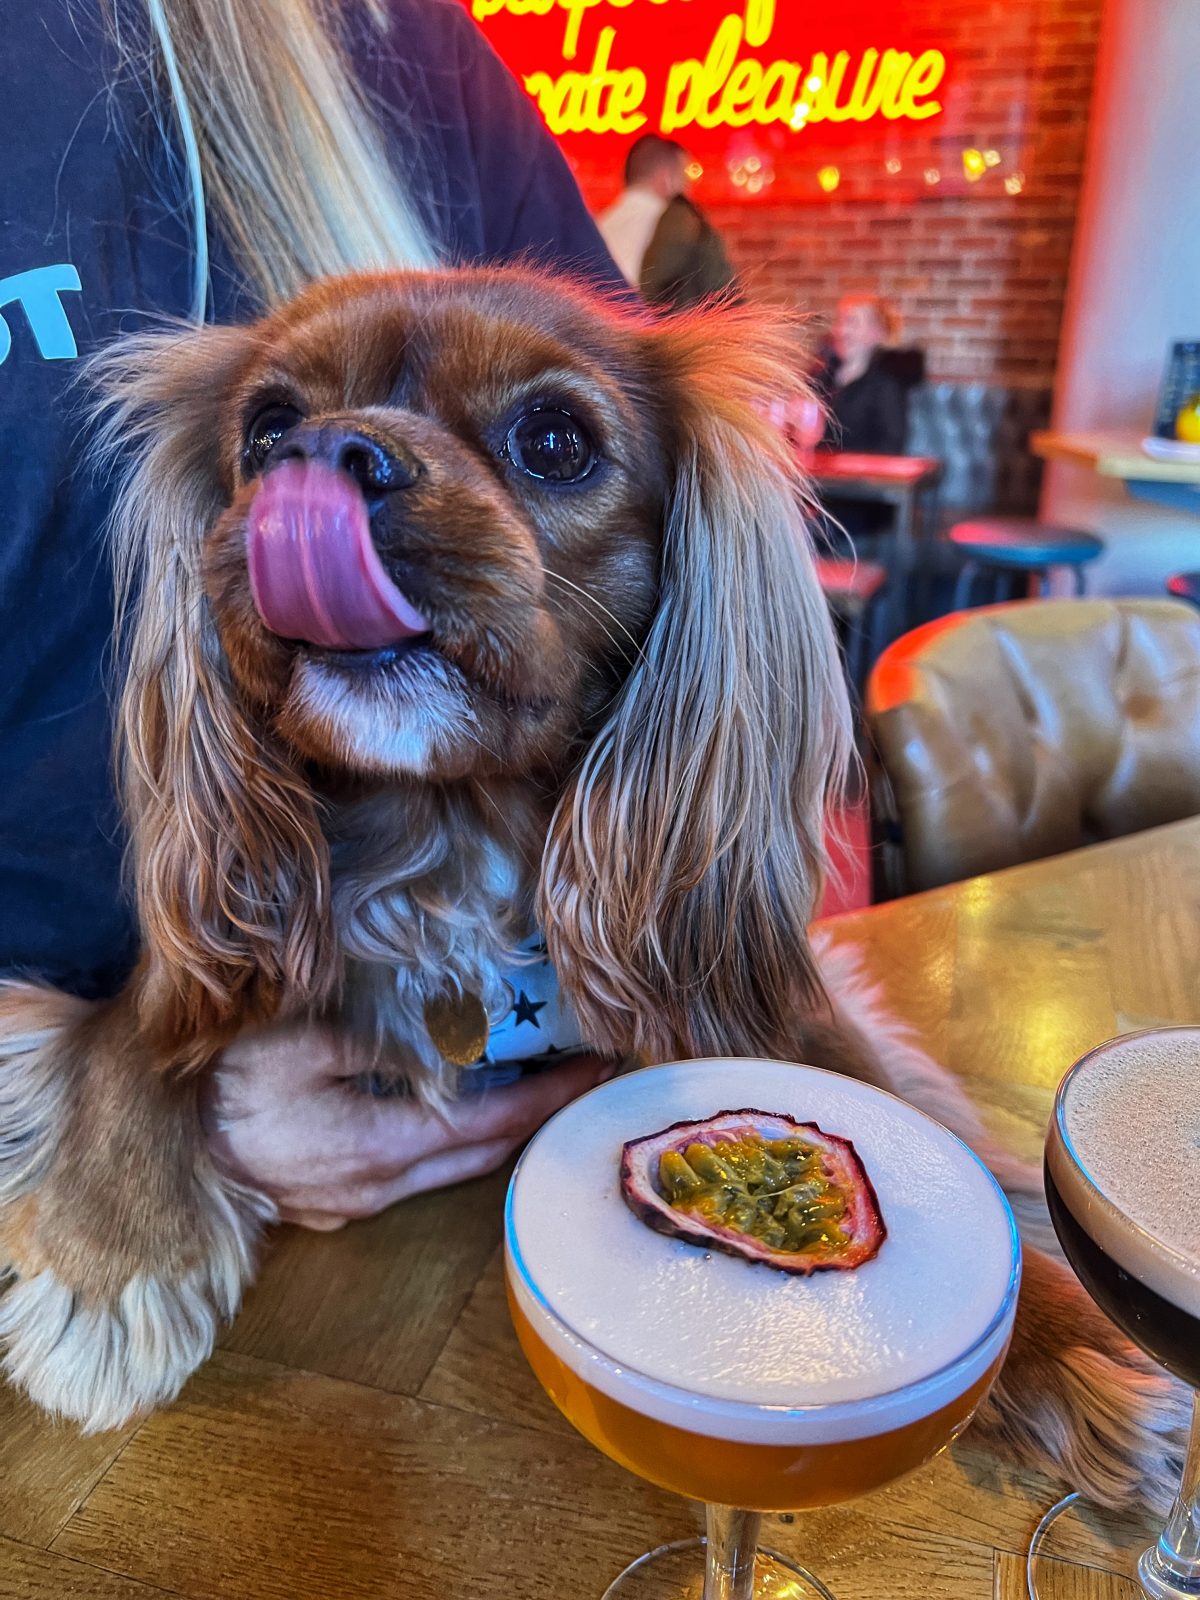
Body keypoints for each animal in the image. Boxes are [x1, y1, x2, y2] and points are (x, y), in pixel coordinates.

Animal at [0, 265, 1190, 1510]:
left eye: (556, 440)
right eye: (266, 429)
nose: (326, 451)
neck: (450, 836)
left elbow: (876, 1096)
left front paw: (1067, 1336)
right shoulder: (205, 958)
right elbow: (130, 1038)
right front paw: (113, 1259)